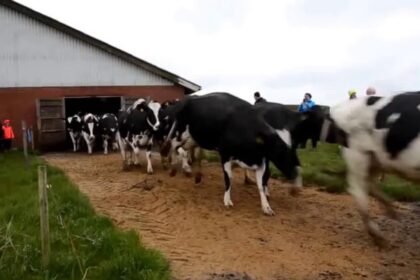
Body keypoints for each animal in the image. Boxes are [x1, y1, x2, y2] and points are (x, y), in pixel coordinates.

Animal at [164, 92, 298, 214]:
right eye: (280, 151)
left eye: (293, 153)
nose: (294, 174)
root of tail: (188, 100)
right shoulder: (225, 155)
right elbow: (229, 178)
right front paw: (227, 200)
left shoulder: (260, 162)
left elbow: (261, 185)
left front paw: (266, 206)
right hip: (182, 133)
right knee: (173, 145)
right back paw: (173, 167)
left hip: (194, 138)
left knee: (190, 152)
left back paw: (196, 175)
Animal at [322, 92, 420, 245]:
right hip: (357, 154)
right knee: (357, 189)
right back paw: (380, 237)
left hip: (375, 159)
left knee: (369, 184)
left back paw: (392, 212)